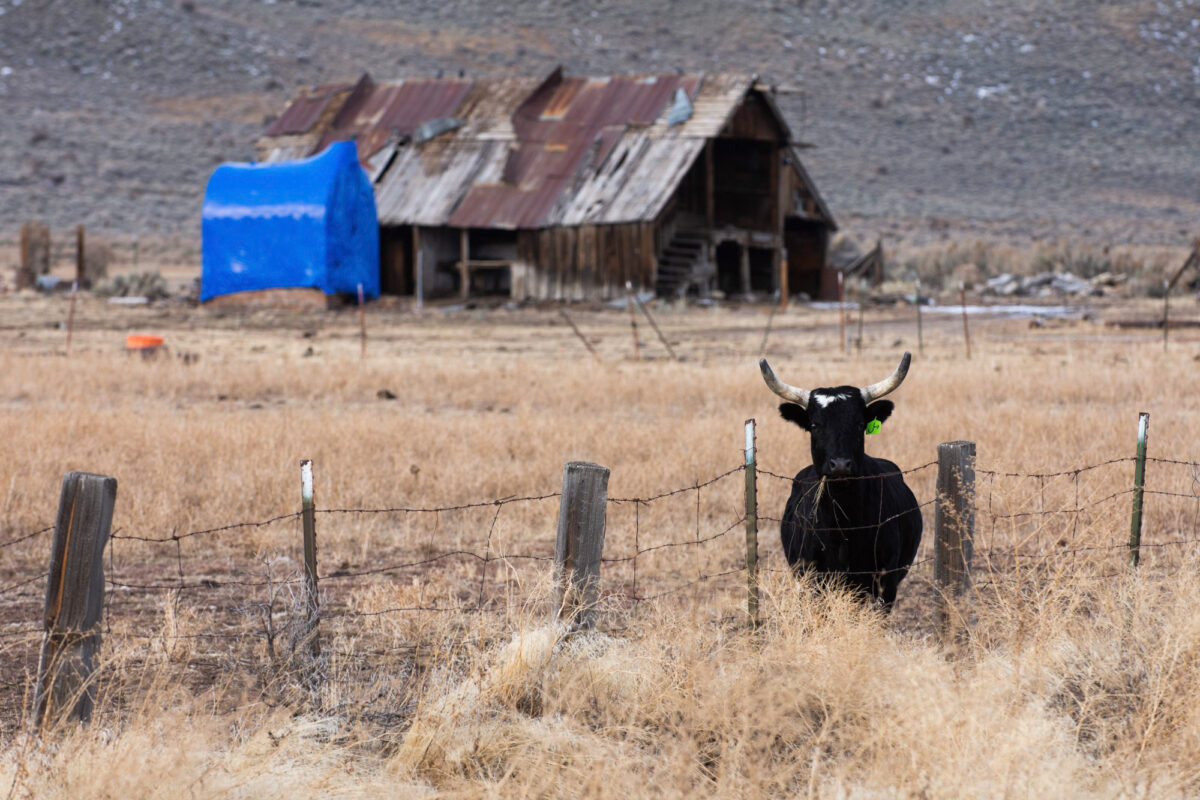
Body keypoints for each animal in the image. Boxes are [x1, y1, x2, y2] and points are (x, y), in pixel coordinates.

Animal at [763, 352, 921, 609]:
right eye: (814, 425)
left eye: (860, 424)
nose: (839, 465)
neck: (843, 525)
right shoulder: (814, 581)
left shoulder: (885, 584)